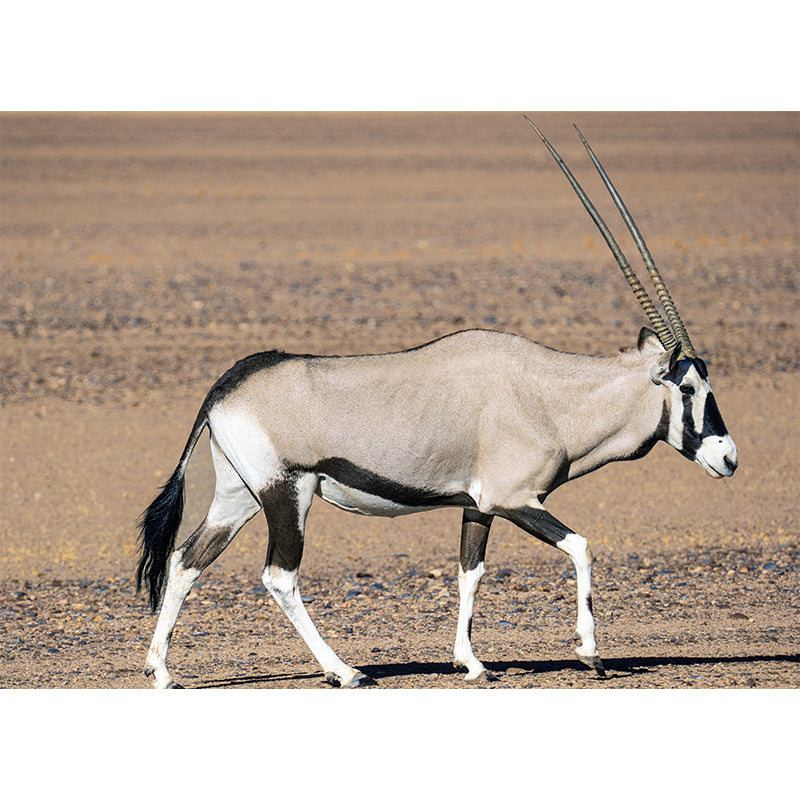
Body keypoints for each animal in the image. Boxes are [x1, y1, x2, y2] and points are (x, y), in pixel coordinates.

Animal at [137, 118, 738, 688]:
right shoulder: (515, 498)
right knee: (279, 576)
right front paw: (590, 652)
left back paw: (162, 671)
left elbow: (470, 573)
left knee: (186, 560)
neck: (550, 398)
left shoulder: (479, 504)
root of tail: (226, 386)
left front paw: (471, 662)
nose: (729, 458)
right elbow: (582, 547)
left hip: (239, 494)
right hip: (288, 494)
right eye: (688, 388)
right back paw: (346, 671)